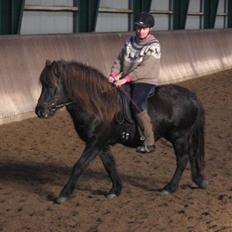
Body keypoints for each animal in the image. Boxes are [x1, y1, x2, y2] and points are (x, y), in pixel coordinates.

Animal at [35, 59, 208, 203]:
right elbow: (110, 165)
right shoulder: (102, 145)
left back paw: (169, 188)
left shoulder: (95, 143)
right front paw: (115, 190)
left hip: (179, 136)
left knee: (183, 159)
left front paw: (63, 195)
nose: (39, 111)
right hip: (184, 136)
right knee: (191, 154)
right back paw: (198, 180)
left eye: (51, 86)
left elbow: (79, 165)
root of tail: (191, 96)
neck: (97, 106)